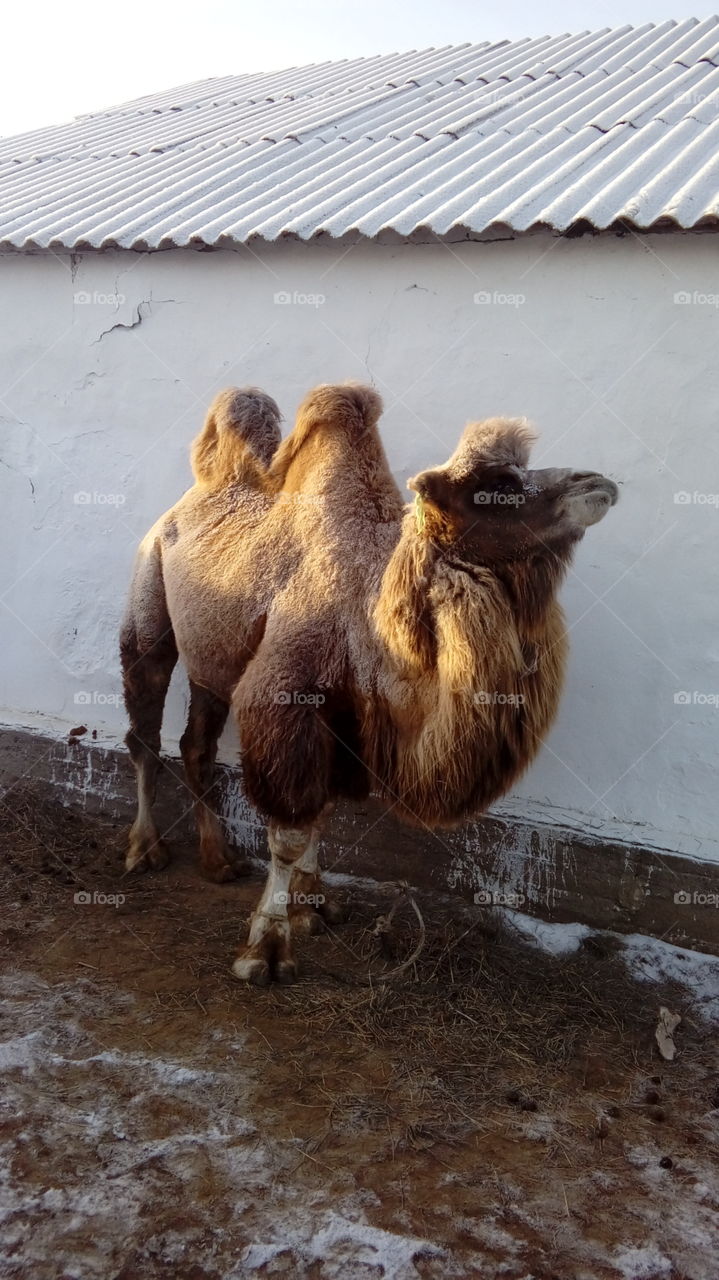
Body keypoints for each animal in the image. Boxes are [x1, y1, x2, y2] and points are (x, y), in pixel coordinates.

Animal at [121, 383, 618, 984]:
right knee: (145, 728)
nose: (597, 482)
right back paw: (144, 850)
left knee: (197, 744)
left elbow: (324, 815)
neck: (373, 608)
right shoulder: (285, 703)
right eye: (496, 484)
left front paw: (313, 906)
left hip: (213, 660)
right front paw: (265, 949)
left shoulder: (348, 721)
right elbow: (290, 831)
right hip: (148, 599)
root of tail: (188, 499)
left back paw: (219, 860)